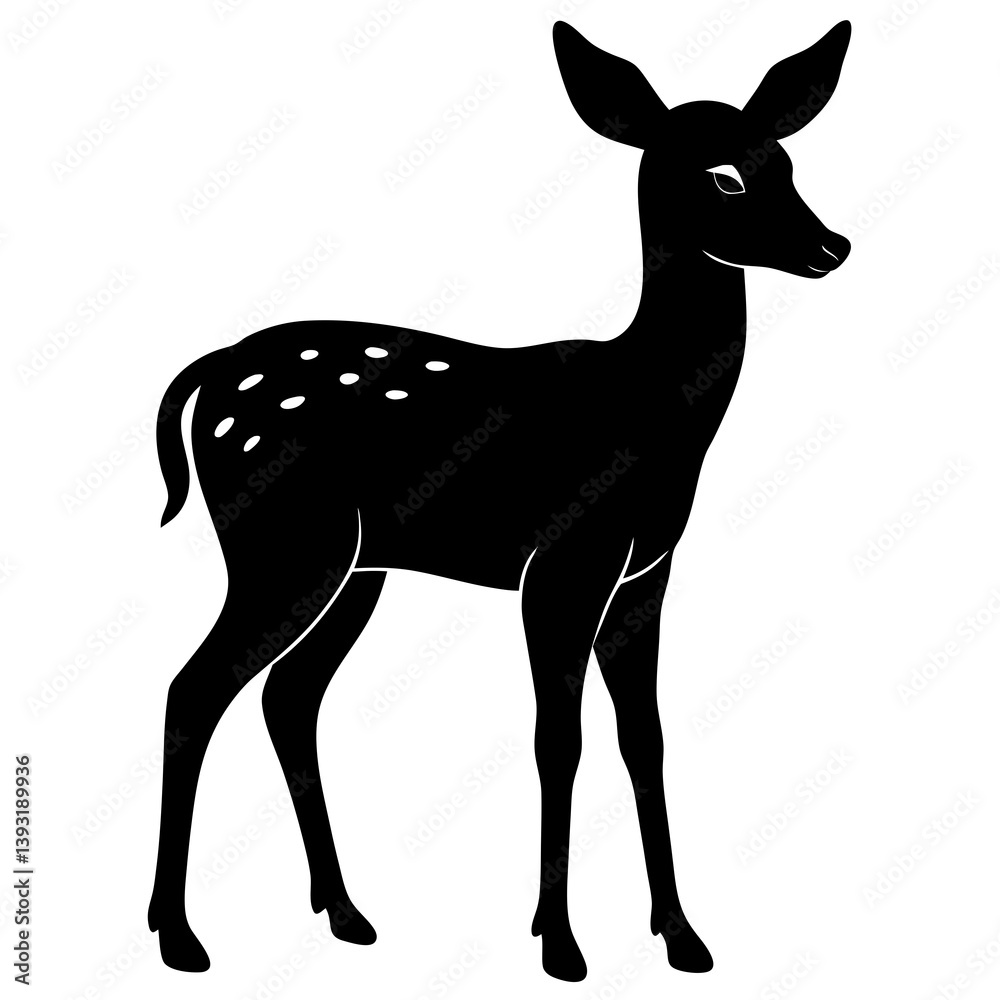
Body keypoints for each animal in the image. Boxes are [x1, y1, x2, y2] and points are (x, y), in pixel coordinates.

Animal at [147, 20, 853, 983]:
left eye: (784, 159)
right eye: (725, 177)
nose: (832, 246)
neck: (654, 407)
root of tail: (208, 371)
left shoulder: (646, 573)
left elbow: (644, 737)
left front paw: (682, 936)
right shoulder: (562, 560)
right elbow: (559, 738)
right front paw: (560, 943)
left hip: (352, 567)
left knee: (287, 696)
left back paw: (345, 913)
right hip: (282, 543)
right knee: (195, 688)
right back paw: (179, 936)